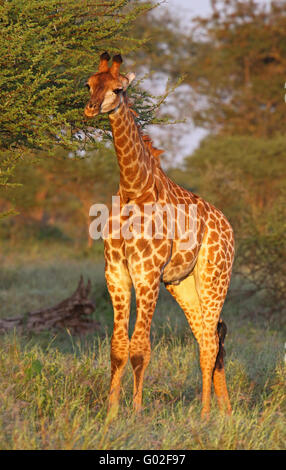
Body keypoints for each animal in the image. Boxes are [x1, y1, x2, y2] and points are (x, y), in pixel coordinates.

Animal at [83, 52, 235, 418]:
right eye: (89, 84)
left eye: (118, 88)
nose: (91, 108)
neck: (132, 189)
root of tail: (228, 226)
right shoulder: (116, 273)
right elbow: (117, 347)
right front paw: (111, 413)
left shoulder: (147, 273)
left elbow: (140, 347)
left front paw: (136, 412)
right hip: (182, 284)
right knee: (208, 337)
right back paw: (223, 410)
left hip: (215, 278)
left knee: (211, 341)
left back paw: (205, 414)